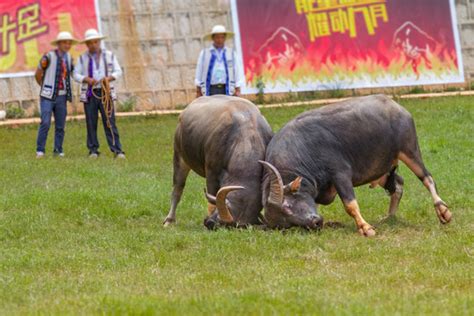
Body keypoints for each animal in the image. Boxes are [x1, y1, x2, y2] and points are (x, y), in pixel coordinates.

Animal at [262, 95, 454, 236]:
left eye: (287, 206)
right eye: (287, 225)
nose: (315, 222)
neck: (302, 149)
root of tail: (395, 106)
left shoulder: (340, 173)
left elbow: (350, 204)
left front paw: (366, 228)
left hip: (410, 151)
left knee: (427, 178)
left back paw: (443, 211)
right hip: (382, 169)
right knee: (398, 184)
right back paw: (389, 217)